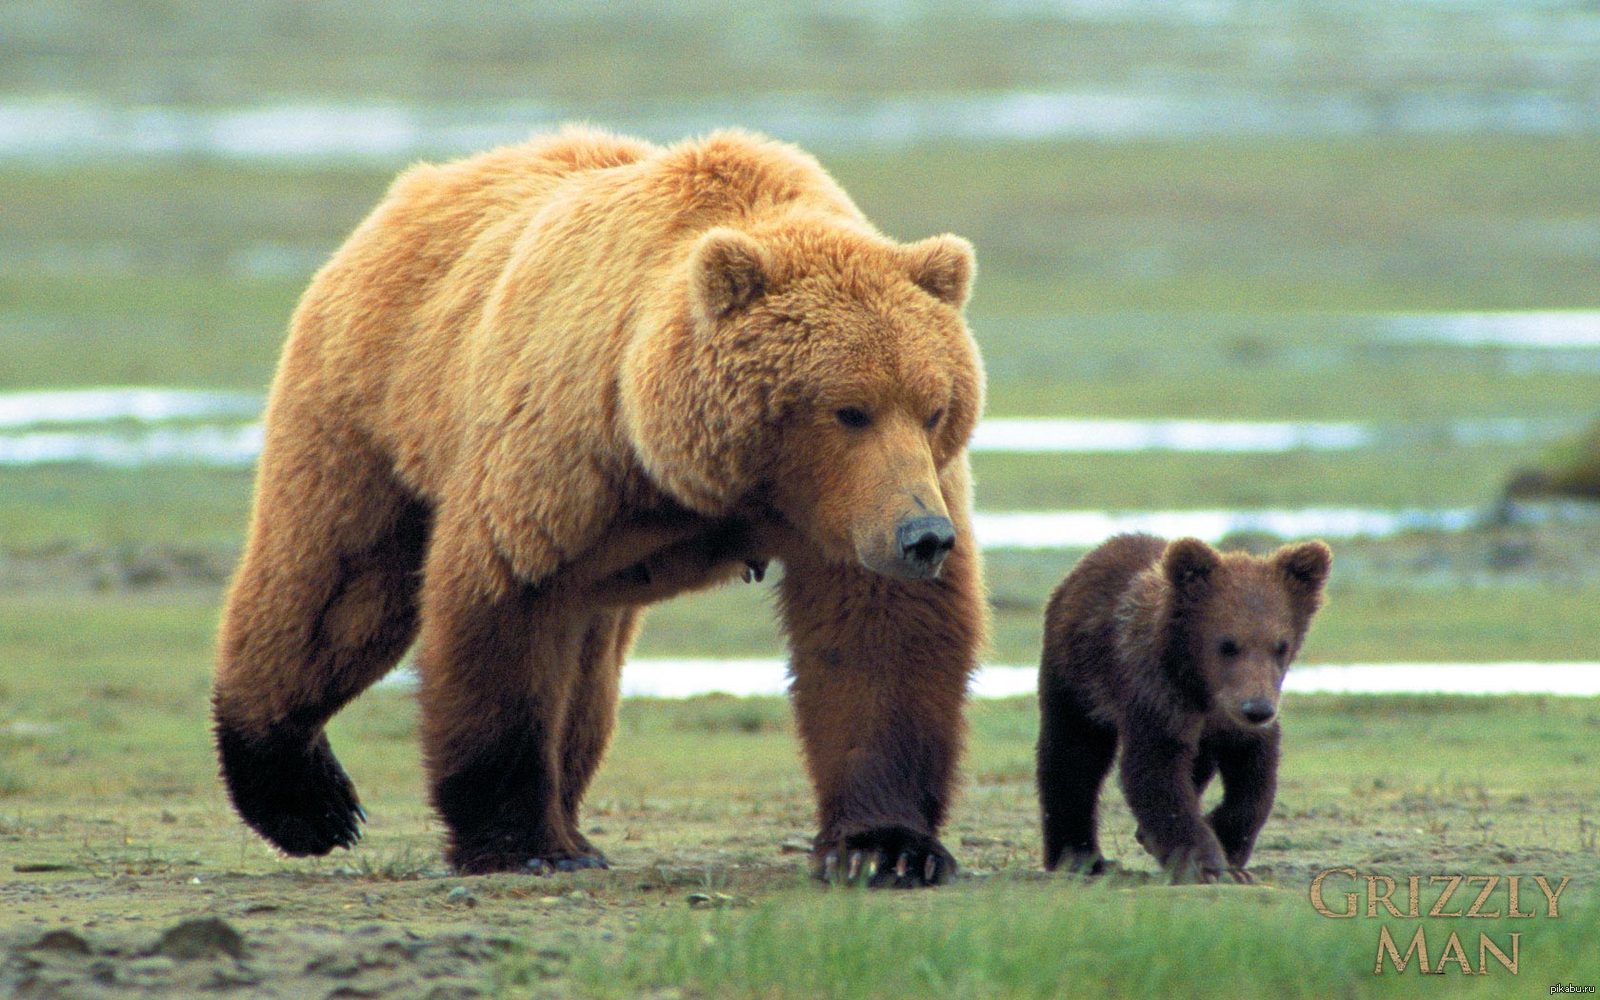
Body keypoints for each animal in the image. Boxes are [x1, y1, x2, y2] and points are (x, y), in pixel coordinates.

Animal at [212, 128, 985, 883]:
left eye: (934, 406)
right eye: (849, 409)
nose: (923, 536)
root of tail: (418, 186)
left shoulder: (858, 509)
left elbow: (878, 639)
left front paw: (885, 847)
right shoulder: (564, 457)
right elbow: (504, 613)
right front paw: (520, 842)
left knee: (585, 676)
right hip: (373, 406)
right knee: (335, 592)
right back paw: (305, 801)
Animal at [1030, 537, 1331, 883]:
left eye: (1281, 646)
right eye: (1227, 644)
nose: (1257, 709)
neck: (1203, 688)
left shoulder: (1240, 719)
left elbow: (1255, 779)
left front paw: (1227, 844)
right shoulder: (1158, 695)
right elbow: (1155, 771)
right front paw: (1204, 864)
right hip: (1078, 677)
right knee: (1072, 754)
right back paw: (1078, 856)